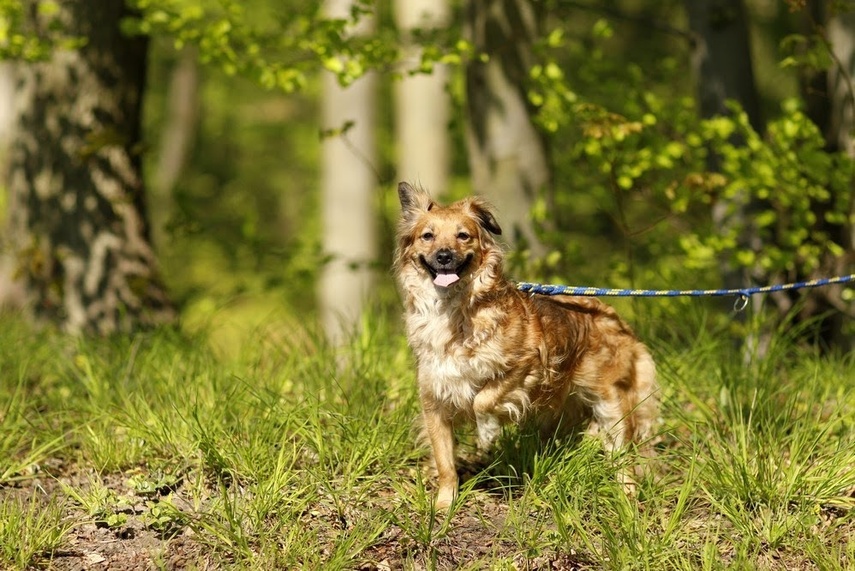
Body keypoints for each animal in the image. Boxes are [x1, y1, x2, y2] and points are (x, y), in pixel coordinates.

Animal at [394, 181, 664, 508]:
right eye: (428, 236)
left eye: (463, 235)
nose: (444, 256)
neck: (453, 312)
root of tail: (615, 317)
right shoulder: (434, 399)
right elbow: (445, 461)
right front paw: (444, 505)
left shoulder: (527, 366)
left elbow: (483, 399)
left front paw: (487, 431)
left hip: (612, 402)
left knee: (622, 454)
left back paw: (626, 496)